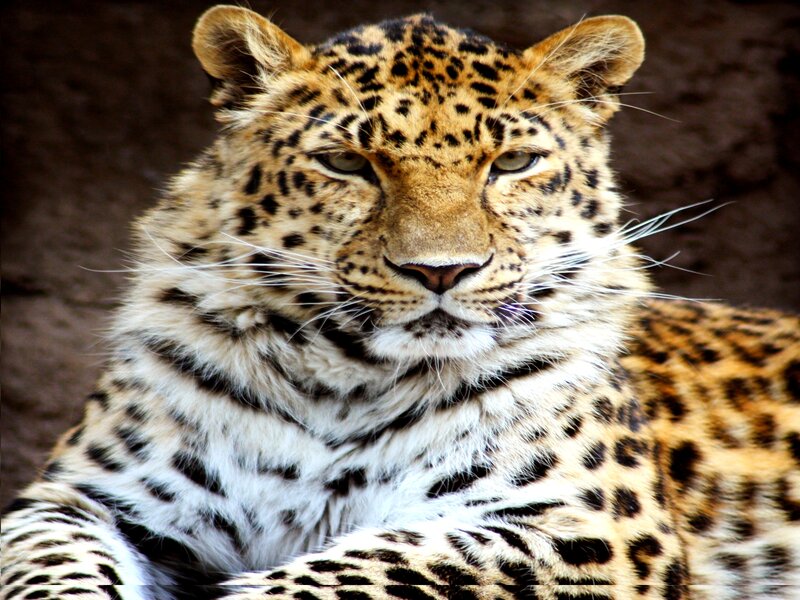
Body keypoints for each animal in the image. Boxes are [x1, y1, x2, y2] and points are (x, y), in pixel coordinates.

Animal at [2, 5, 799, 600]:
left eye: (513, 163)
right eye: (346, 163)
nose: (441, 272)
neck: (346, 383)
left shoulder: (592, 530)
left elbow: (355, 572)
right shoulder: (81, 499)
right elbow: (49, 567)